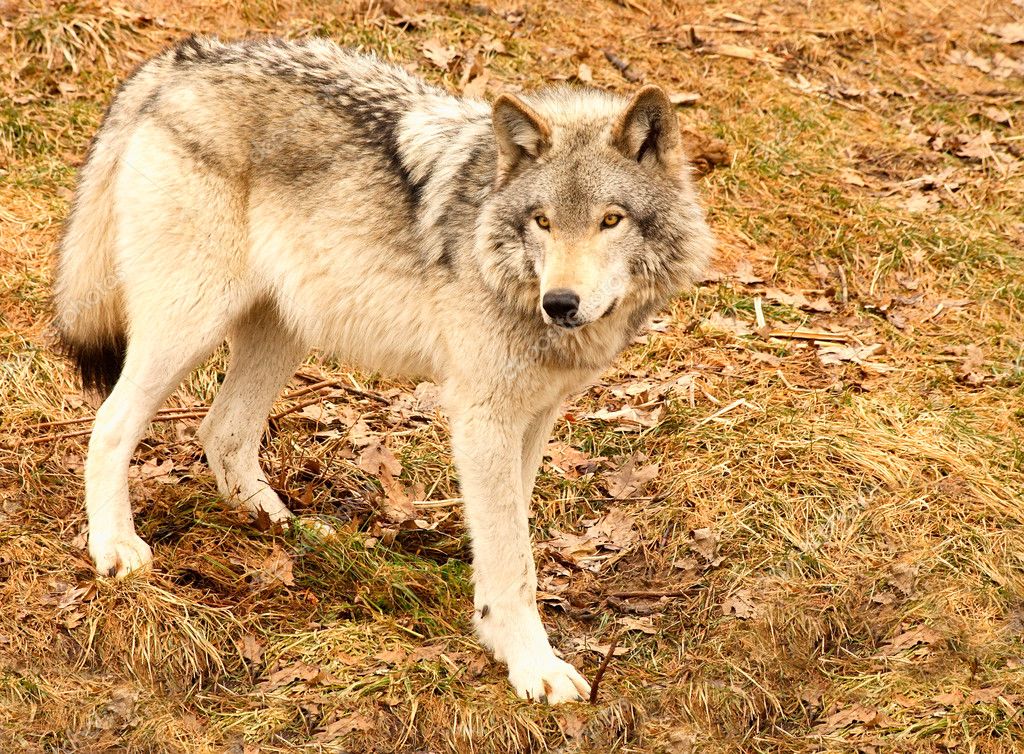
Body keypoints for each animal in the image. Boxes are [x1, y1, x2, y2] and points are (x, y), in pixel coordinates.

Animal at [56, 35, 712, 704]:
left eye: (611, 220)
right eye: (543, 222)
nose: (560, 303)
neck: (498, 255)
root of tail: (182, 59)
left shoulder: (533, 418)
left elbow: (508, 541)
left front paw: (497, 636)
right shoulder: (483, 418)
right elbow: (514, 560)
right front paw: (535, 668)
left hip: (285, 330)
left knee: (222, 431)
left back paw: (288, 529)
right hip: (188, 324)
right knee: (110, 425)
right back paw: (114, 548)